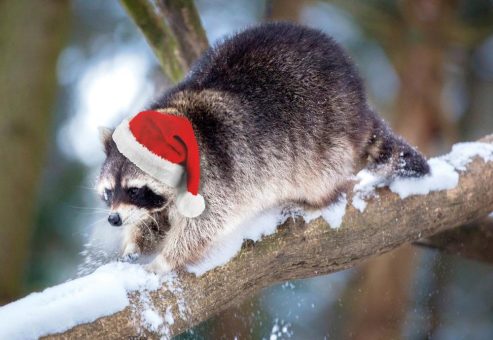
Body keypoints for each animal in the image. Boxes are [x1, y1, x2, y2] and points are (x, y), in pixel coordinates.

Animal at [97, 22, 426, 274]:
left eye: (135, 190)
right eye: (109, 192)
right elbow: (158, 218)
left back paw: (316, 198)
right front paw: (137, 239)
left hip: (330, 135)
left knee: (323, 176)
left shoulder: (215, 175)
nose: (113, 219)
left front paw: (167, 258)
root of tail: (359, 103)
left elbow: (204, 224)